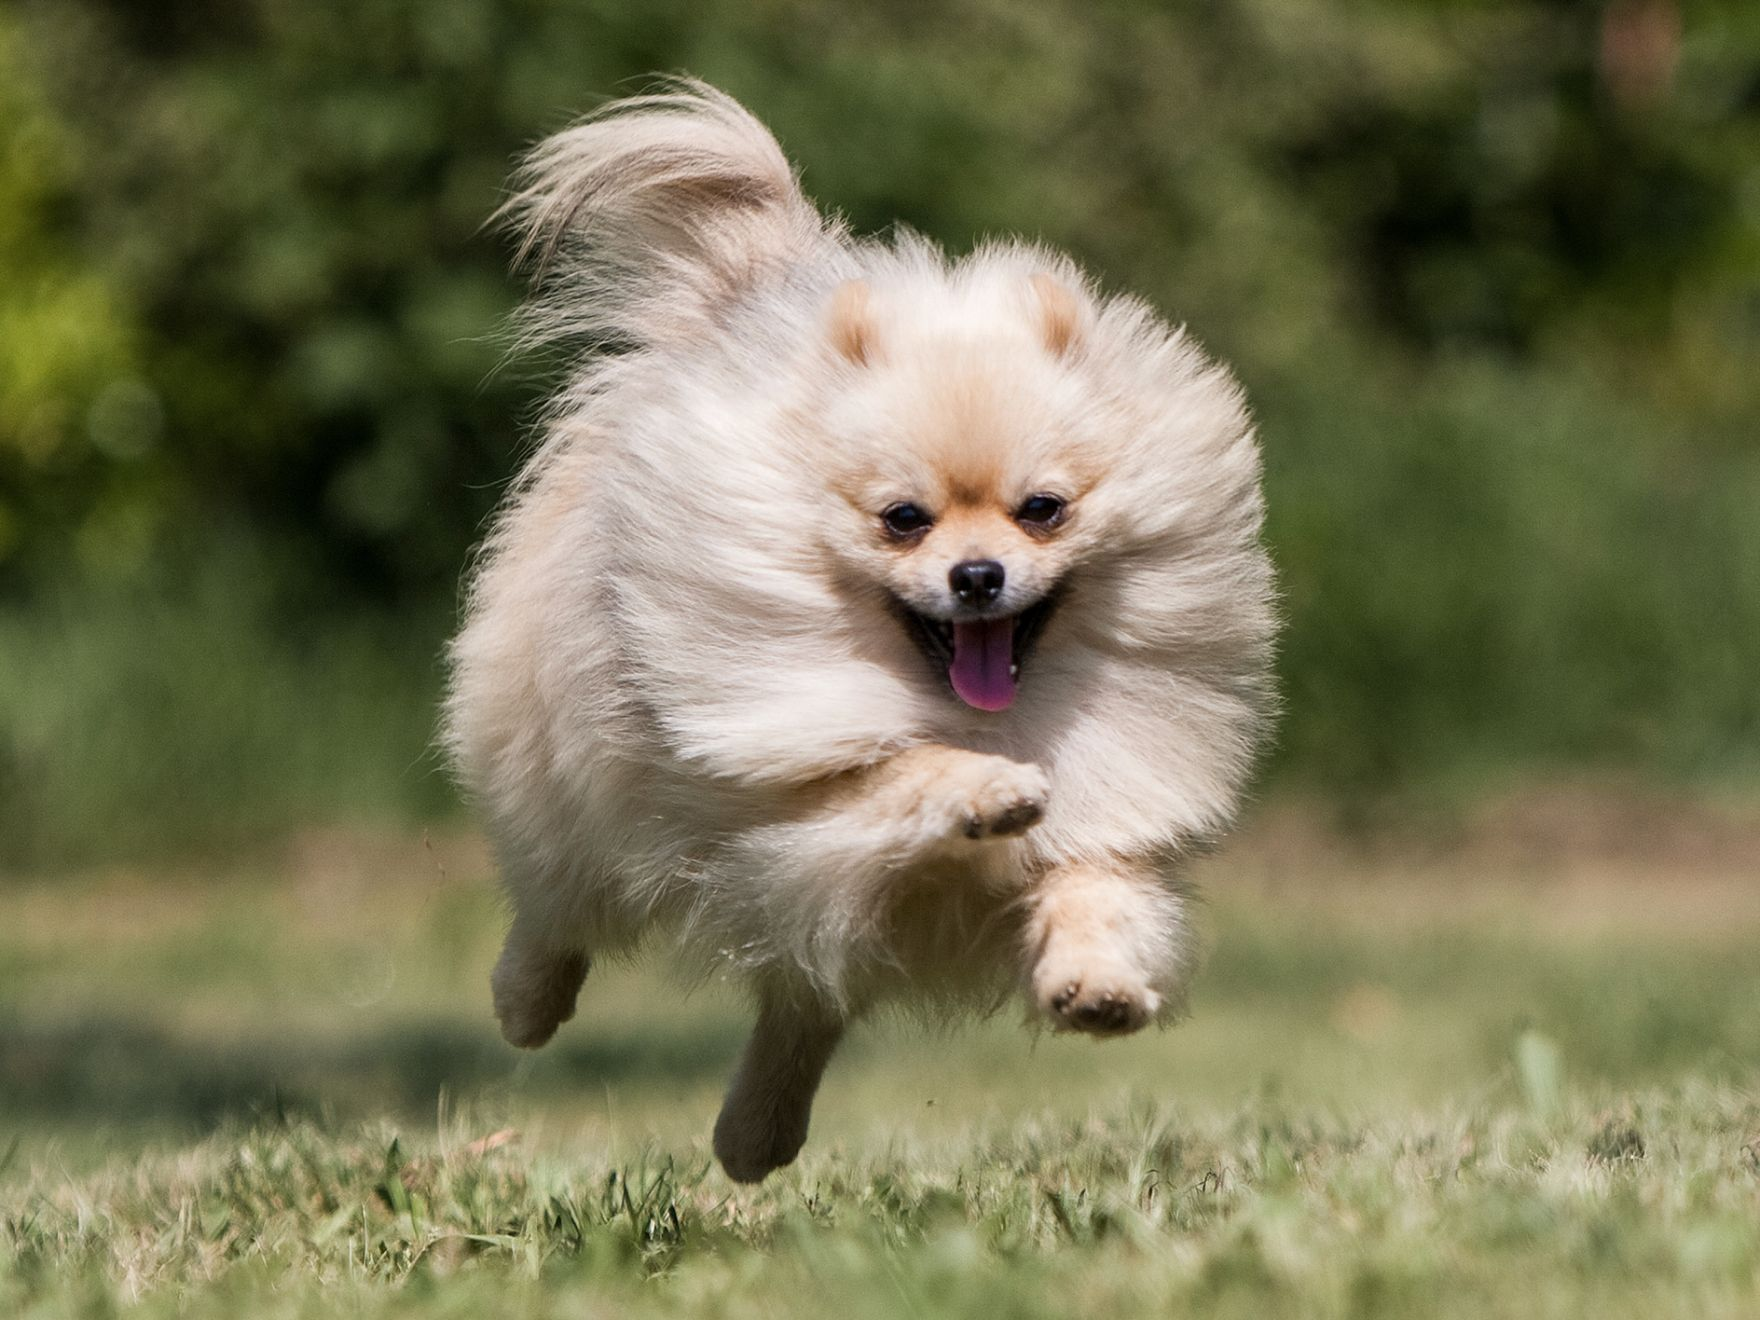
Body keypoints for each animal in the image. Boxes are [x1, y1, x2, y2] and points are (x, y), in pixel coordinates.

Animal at [447, 77, 1274, 1182]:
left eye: (1042, 510)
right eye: (903, 519)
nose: (978, 575)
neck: (969, 706)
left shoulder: (1110, 804)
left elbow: (1093, 888)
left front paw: (1095, 984)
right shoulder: (785, 790)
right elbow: (898, 769)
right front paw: (990, 792)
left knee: (803, 999)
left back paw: (754, 1134)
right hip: (577, 781)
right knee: (557, 896)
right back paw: (525, 1005)